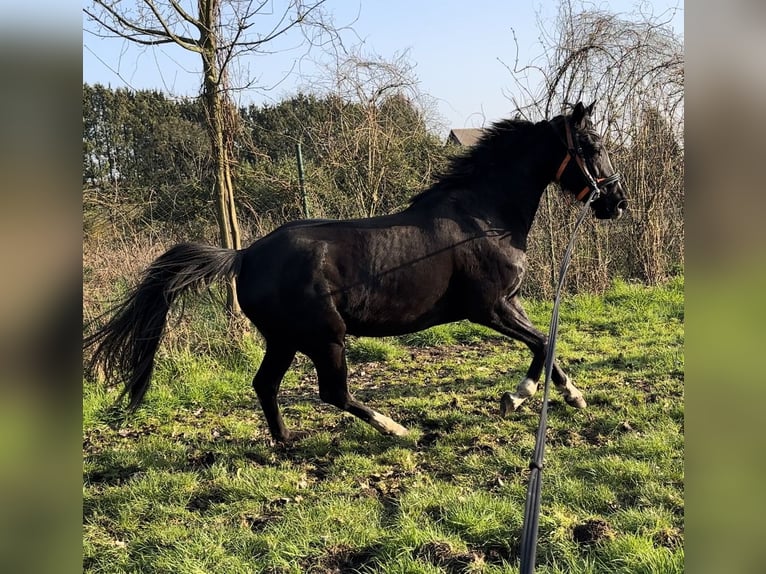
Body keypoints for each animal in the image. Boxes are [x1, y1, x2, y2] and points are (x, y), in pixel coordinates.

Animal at [87, 103, 632, 444]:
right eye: (592, 145)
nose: (617, 203)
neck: (483, 217)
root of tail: (244, 255)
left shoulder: (510, 302)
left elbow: (547, 341)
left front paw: (570, 395)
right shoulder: (488, 308)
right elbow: (542, 342)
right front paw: (517, 398)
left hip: (285, 339)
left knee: (265, 385)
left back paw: (286, 442)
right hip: (324, 337)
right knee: (333, 393)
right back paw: (397, 430)